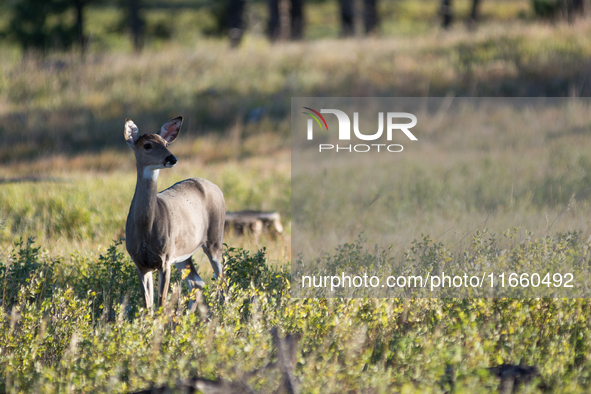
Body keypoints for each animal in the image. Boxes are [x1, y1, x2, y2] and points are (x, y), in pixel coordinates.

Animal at [123, 115, 225, 310]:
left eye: (165, 143)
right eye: (147, 145)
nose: (172, 158)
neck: (145, 230)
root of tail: (216, 187)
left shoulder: (165, 259)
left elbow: (161, 303)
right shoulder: (140, 263)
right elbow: (148, 305)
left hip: (214, 237)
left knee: (222, 278)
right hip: (183, 253)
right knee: (197, 281)